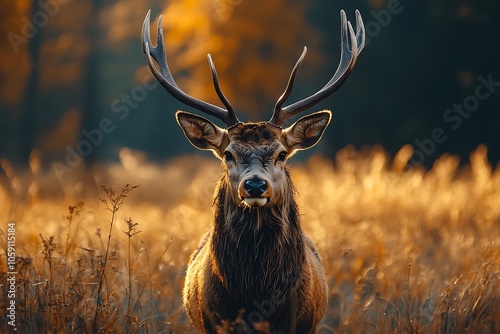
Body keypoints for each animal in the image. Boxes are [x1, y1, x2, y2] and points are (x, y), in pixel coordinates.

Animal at [143, 8, 366, 334]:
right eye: (228, 154)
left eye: (282, 153)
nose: (256, 186)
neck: (255, 295)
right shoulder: (213, 322)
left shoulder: (298, 323)